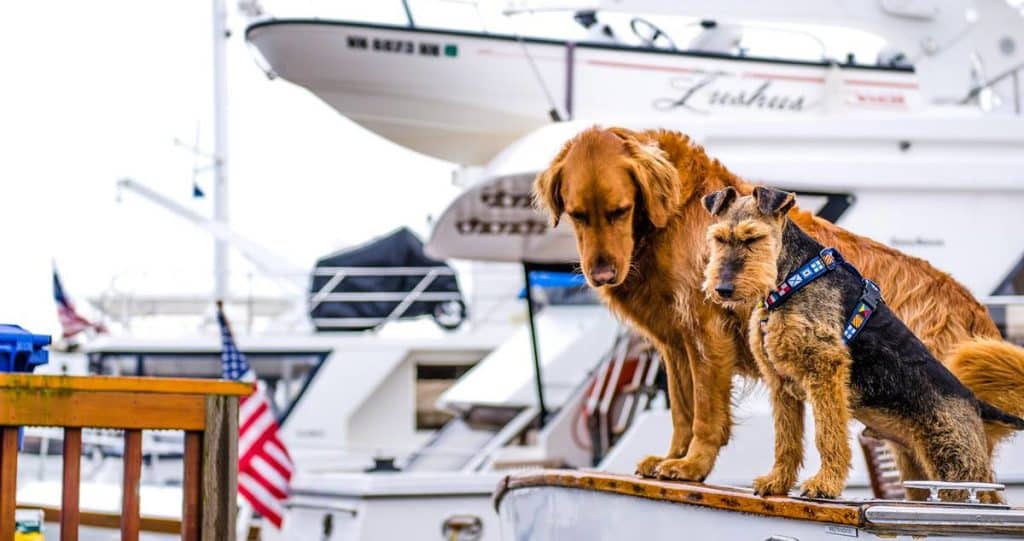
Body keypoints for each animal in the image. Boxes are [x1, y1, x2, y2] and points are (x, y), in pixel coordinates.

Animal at [536, 128, 1024, 485]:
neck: (673, 215)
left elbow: (706, 415)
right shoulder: (675, 343)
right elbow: (681, 411)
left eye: (619, 211)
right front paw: (670, 458)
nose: (601, 274)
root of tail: (979, 314)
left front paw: (692, 465)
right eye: (577, 215)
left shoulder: (707, 333)